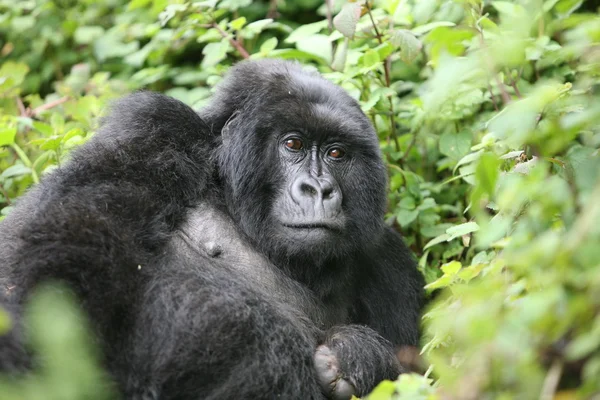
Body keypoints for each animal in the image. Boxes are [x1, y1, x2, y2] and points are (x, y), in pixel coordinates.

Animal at [0, 60, 424, 400]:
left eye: (336, 153)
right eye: (293, 144)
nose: (319, 189)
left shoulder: (388, 259)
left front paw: (356, 356)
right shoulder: (157, 129)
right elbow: (62, 240)